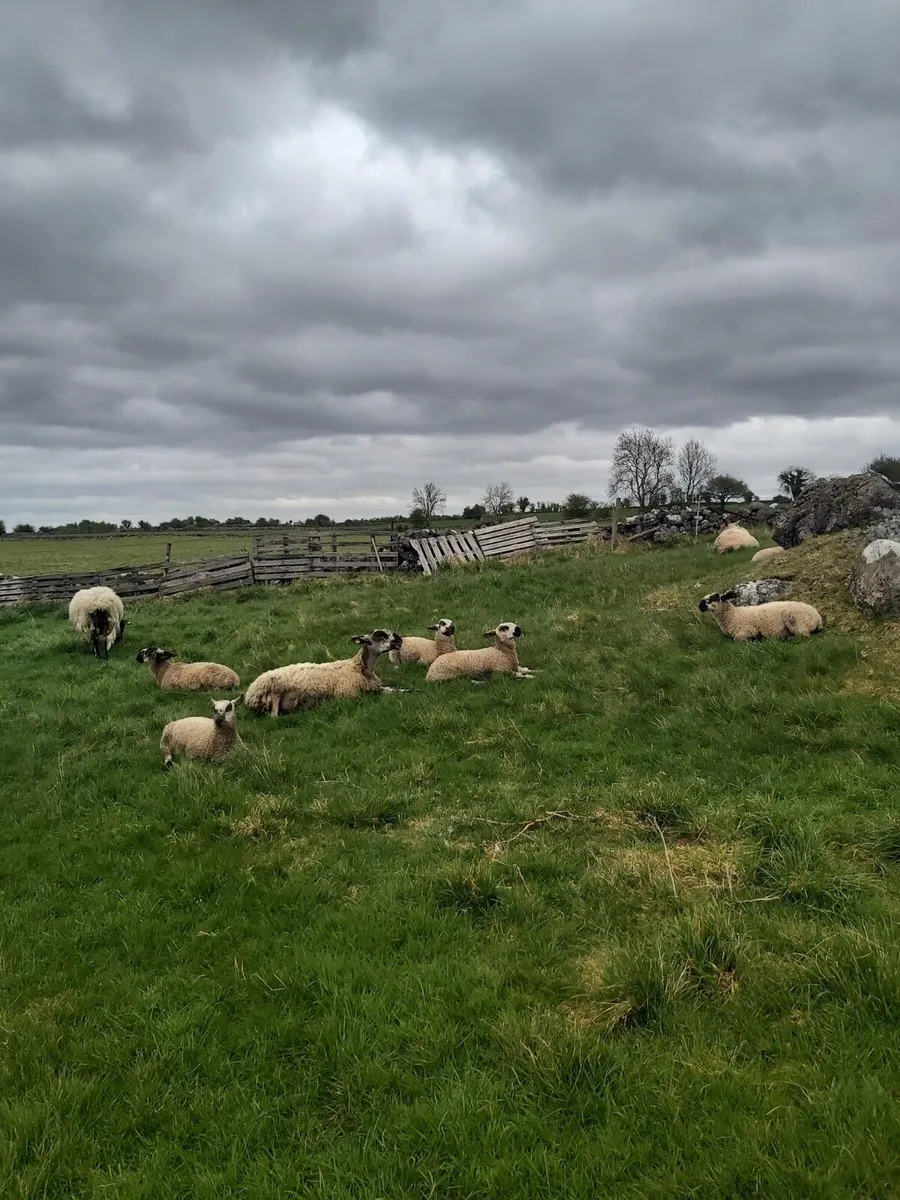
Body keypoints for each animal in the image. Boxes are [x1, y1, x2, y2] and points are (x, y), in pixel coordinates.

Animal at [243, 629, 409, 716]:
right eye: (379, 637)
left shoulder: (376, 687)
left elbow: (395, 690)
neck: (358, 668)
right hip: (274, 693)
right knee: (274, 716)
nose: (399, 639)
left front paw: (410, 691)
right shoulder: (350, 695)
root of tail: (249, 692)